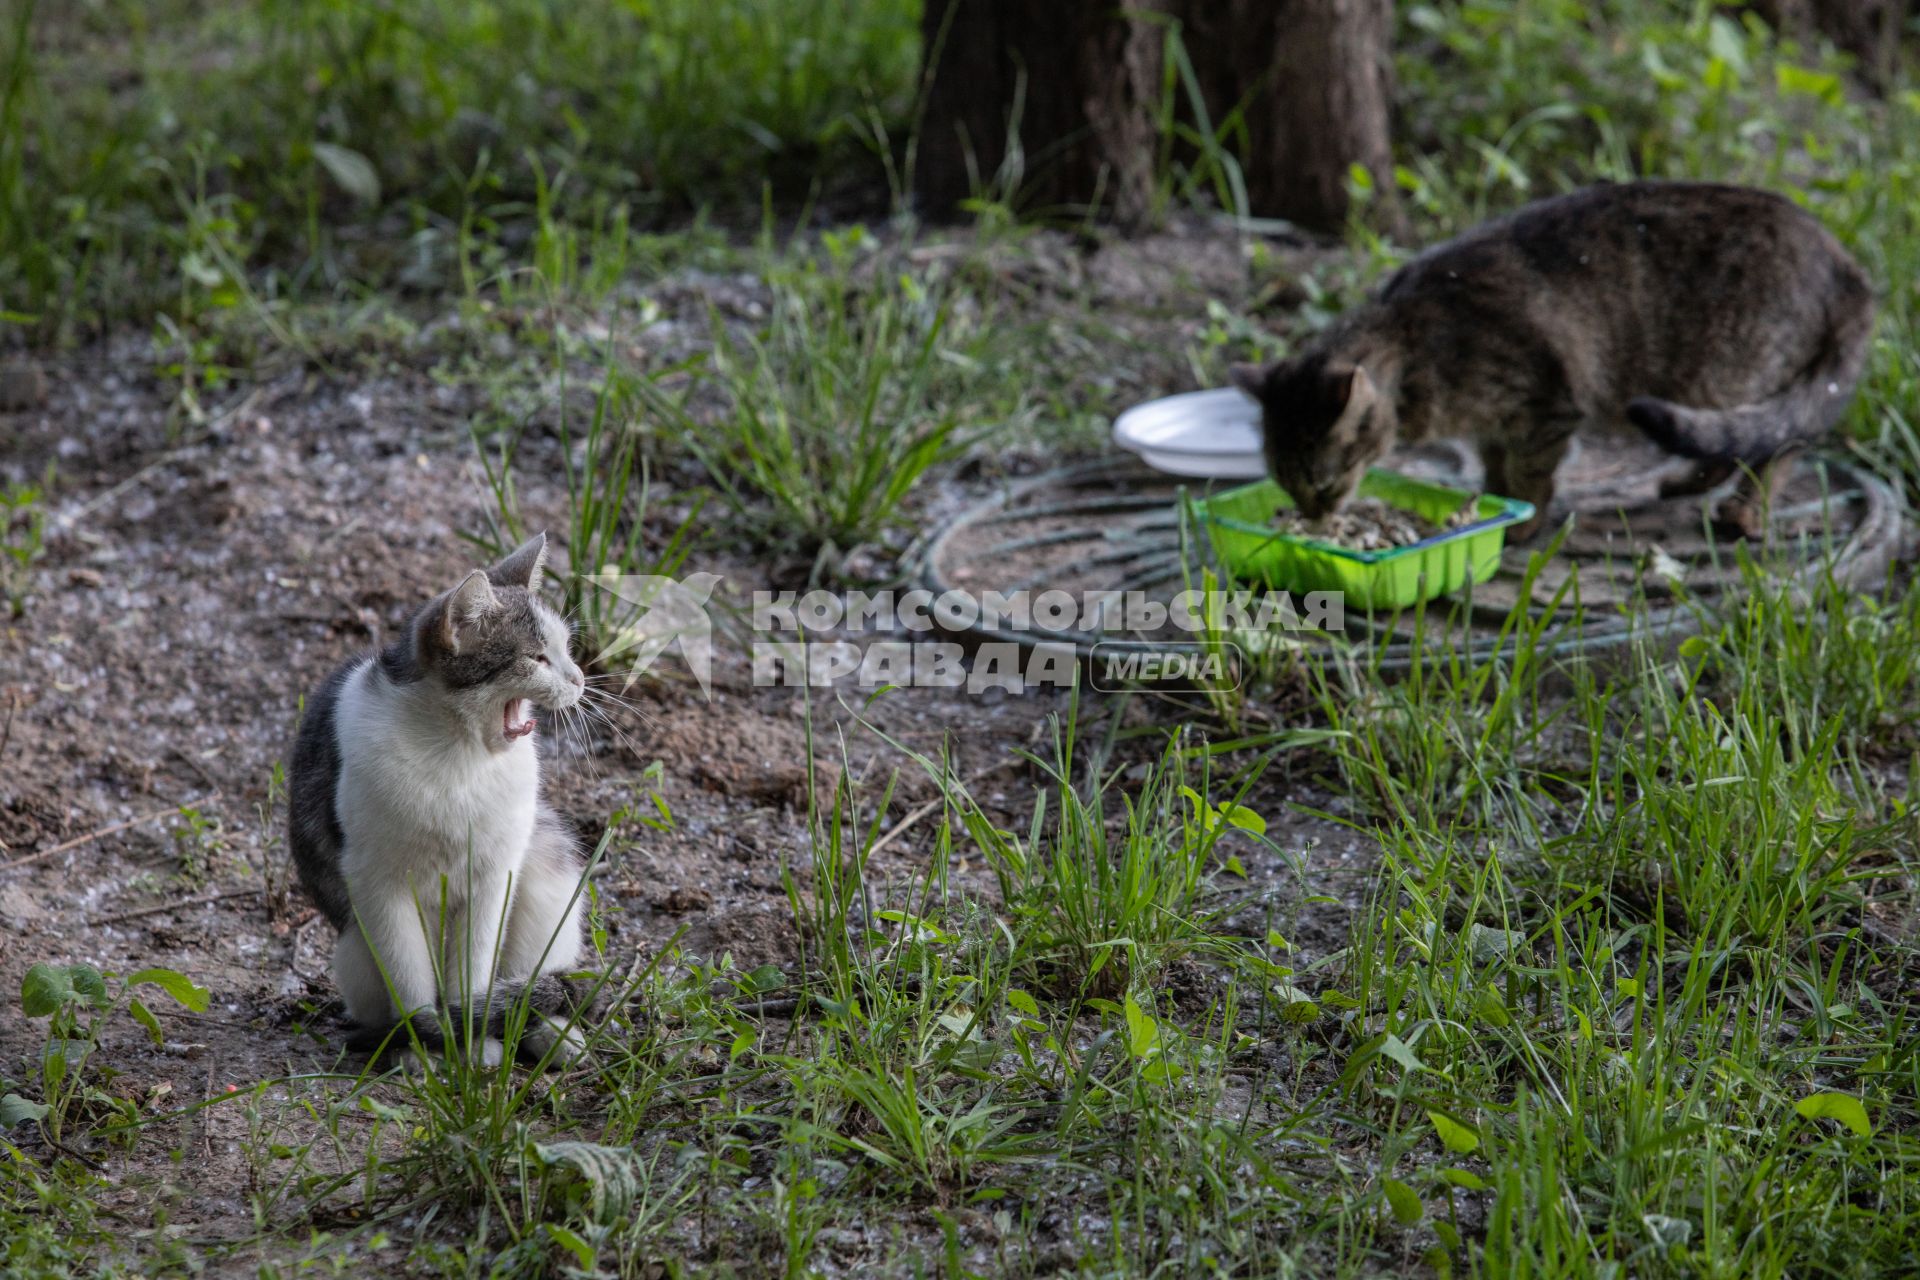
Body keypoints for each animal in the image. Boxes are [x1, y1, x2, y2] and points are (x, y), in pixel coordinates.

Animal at [288, 529, 587, 1059]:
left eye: (566, 649)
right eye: (537, 658)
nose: (580, 678)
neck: (458, 757)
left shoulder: (494, 877)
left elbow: (474, 973)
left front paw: (472, 1041)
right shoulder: (381, 887)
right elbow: (411, 981)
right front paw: (424, 1045)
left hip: (546, 873)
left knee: (538, 977)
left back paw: (550, 1031)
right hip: (355, 950)